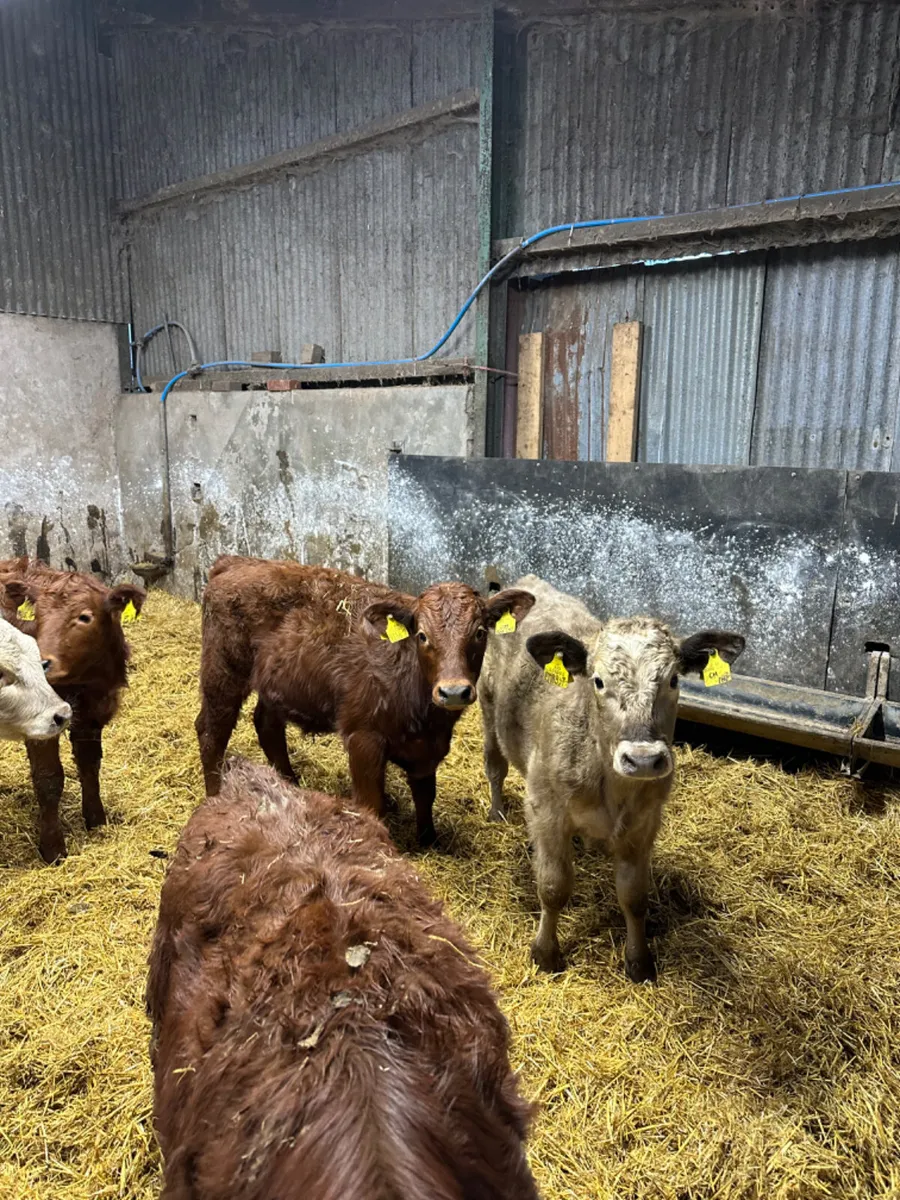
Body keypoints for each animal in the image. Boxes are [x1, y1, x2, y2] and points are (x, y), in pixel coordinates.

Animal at [0, 558, 145, 863]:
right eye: (38, 616)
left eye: (84, 617)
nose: (40, 662)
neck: (82, 683)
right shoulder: (39, 720)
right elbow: (49, 779)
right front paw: (53, 849)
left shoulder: (93, 715)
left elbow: (90, 766)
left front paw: (96, 821)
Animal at [195, 556, 534, 846]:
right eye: (422, 636)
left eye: (480, 633)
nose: (453, 691)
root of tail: (236, 562)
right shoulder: (363, 738)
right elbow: (371, 803)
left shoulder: (429, 748)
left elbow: (426, 794)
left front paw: (429, 840)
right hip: (223, 672)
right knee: (211, 731)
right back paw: (214, 797)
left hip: (276, 684)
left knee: (267, 726)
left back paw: (290, 784)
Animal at [480, 575, 745, 983]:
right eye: (599, 681)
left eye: (673, 680)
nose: (644, 759)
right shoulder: (546, 809)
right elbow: (553, 886)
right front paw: (546, 953)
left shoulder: (644, 823)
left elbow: (634, 897)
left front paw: (639, 961)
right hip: (488, 703)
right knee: (495, 764)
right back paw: (496, 812)